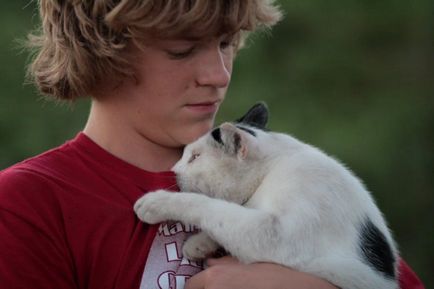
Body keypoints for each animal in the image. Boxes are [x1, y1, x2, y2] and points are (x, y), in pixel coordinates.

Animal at [134, 102, 398, 286]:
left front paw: (155, 202)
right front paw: (199, 244)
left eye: (195, 157)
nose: (173, 169)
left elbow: (211, 207)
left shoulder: (276, 234)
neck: (275, 165)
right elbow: (228, 217)